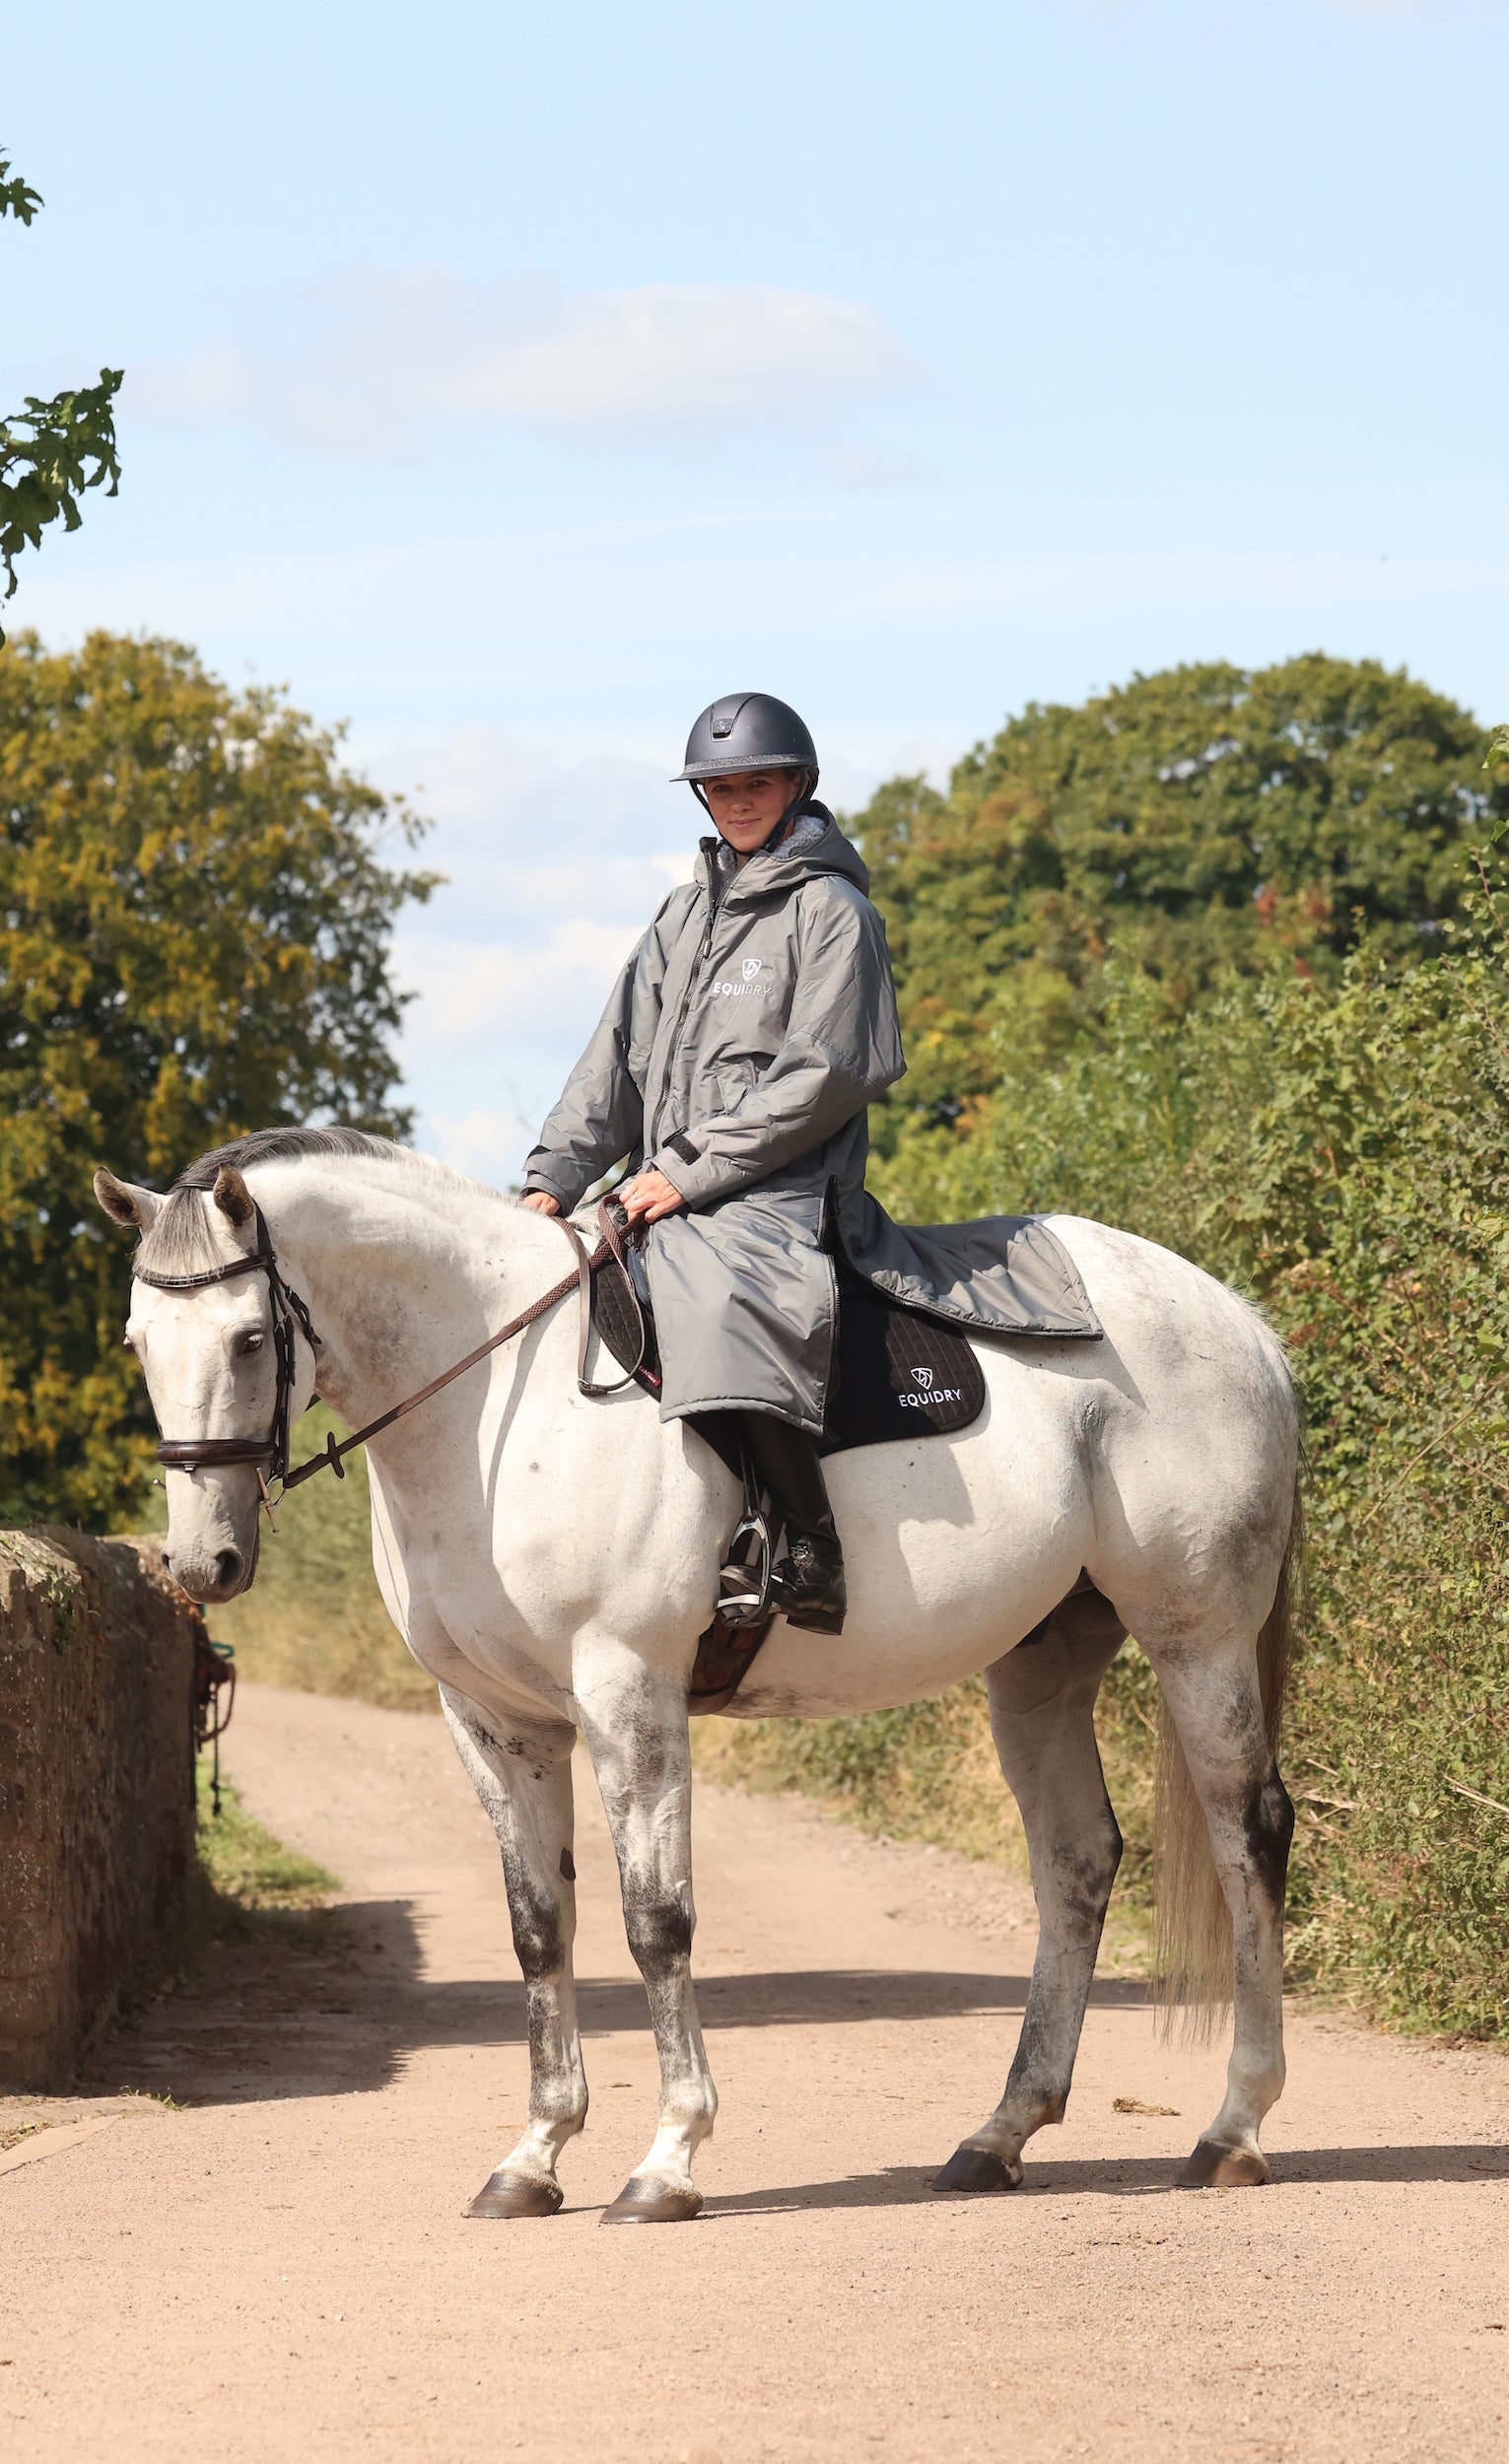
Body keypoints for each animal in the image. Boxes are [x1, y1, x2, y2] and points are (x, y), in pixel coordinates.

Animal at [95, 1127, 1301, 2224]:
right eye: (140, 1341)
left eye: (252, 1337)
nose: (203, 1564)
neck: (495, 1402)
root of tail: (1236, 1322)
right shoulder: (494, 1721)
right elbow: (540, 1926)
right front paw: (533, 2157)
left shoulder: (627, 1692)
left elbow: (654, 1920)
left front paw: (668, 2158)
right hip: (1040, 1663)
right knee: (1076, 1862)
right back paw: (998, 2136)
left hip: (1196, 1638)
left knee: (1247, 1835)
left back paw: (1232, 2127)